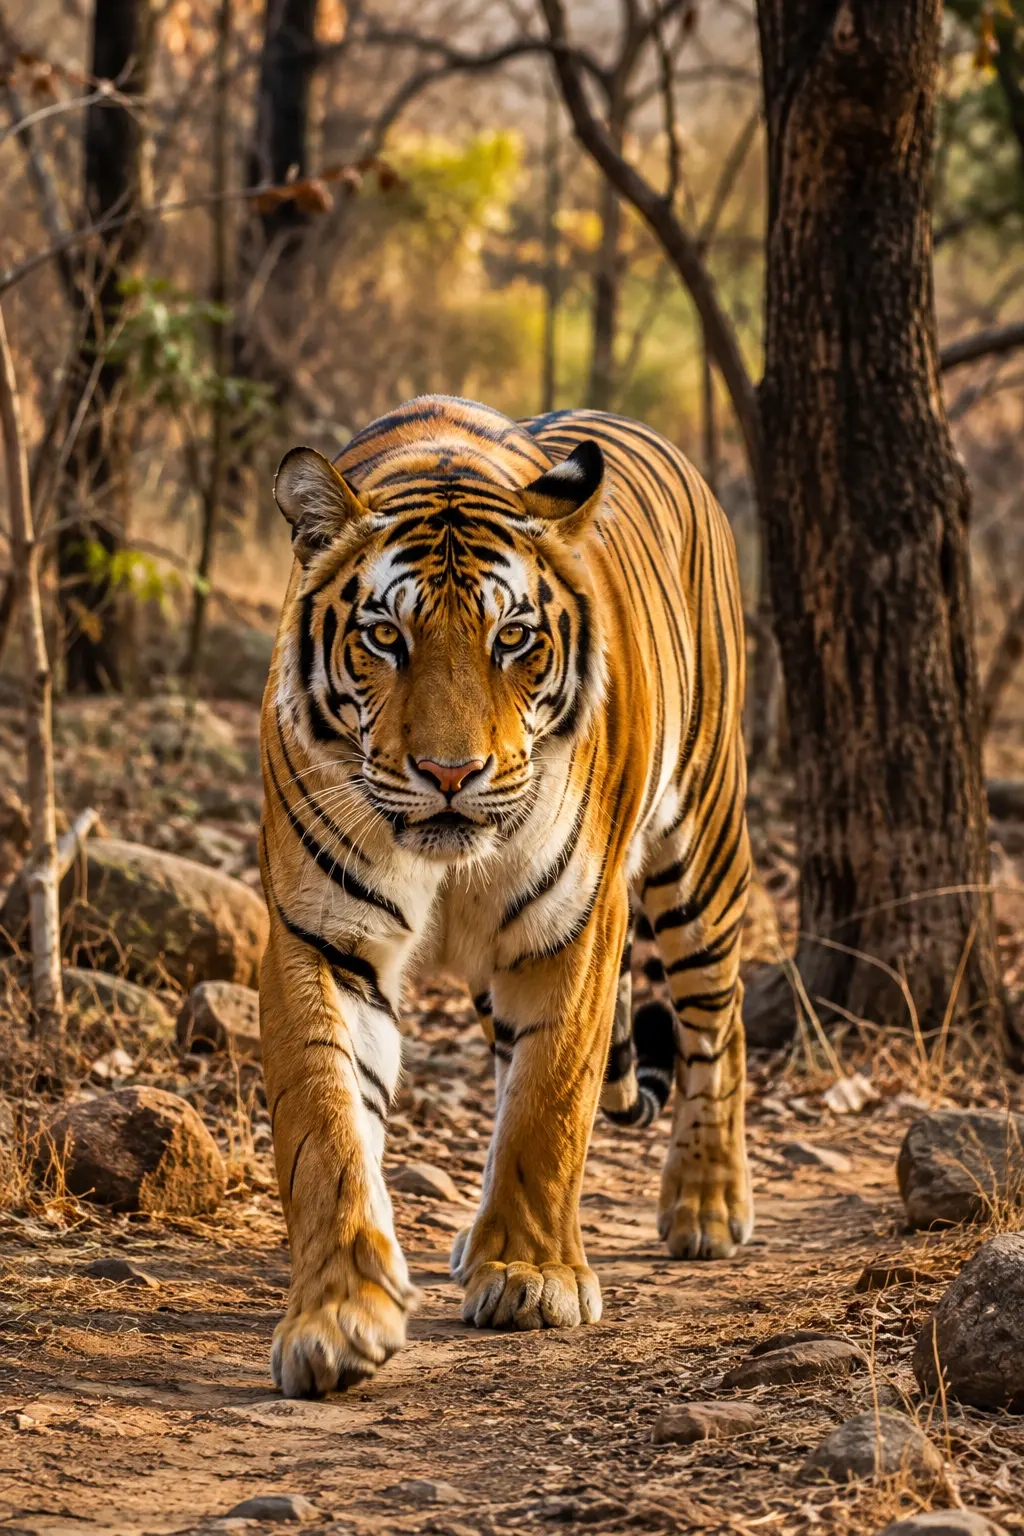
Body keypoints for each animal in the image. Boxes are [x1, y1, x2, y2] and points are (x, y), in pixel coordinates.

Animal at [258, 394, 753, 1398]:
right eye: (385, 636)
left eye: (512, 637)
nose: (451, 774)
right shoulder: (317, 932)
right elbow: (326, 1124)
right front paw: (337, 1315)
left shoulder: (575, 926)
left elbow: (548, 1104)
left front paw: (530, 1276)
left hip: (703, 854)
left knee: (721, 1025)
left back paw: (707, 1205)